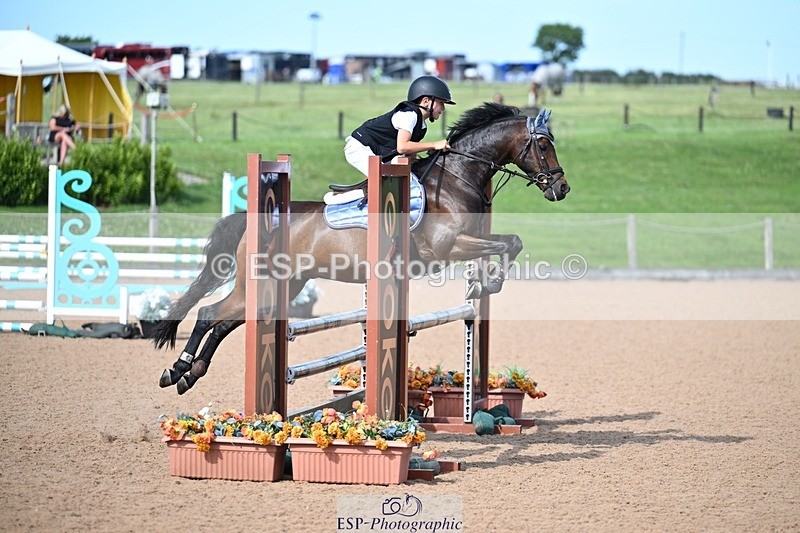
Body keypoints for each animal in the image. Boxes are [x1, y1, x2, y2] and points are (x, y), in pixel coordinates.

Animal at [153, 103, 569, 395]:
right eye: (543, 145)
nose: (562, 189)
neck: (456, 180)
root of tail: (256, 217)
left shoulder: (466, 243)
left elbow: (506, 245)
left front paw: (482, 285)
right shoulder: (448, 246)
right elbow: (510, 243)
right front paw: (489, 284)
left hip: (282, 286)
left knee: (225, 322)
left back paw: (189, 374)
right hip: (258, 283)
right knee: (208, 313)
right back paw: (178, 369)